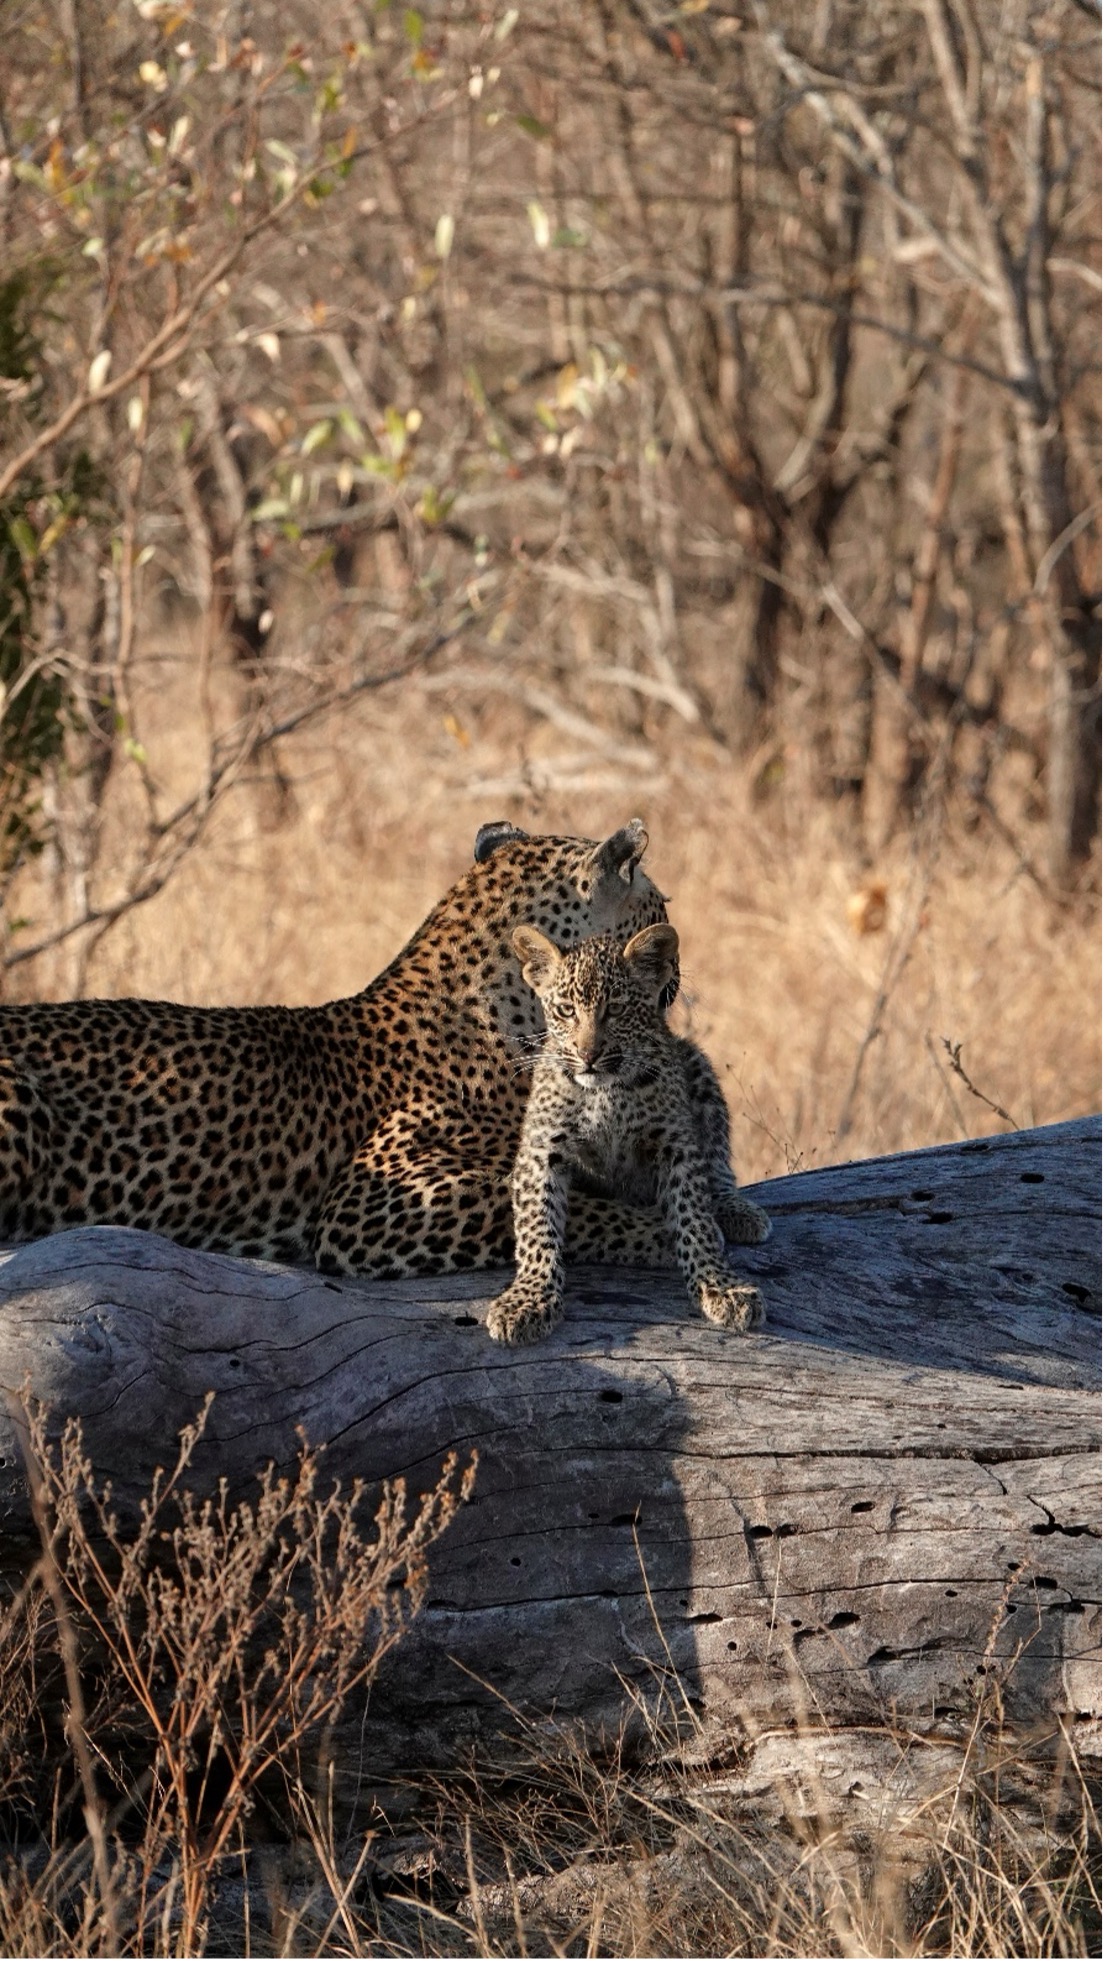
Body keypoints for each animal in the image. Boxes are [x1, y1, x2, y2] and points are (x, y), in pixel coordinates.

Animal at [486, 923, 771, 1346]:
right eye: (566, 1010)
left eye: (616, 1009)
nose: (588, 1054)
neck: (605, 1092)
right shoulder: (541, 1151)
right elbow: (537, 1227)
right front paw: (529, 1300)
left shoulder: (675, 1144)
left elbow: (694, 1218)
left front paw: (722, 1287)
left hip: (697, 1065)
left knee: (717, 1160)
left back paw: (735, 1211)